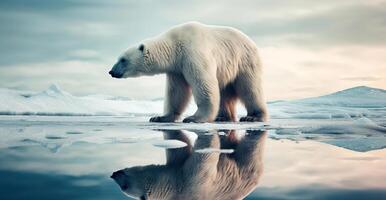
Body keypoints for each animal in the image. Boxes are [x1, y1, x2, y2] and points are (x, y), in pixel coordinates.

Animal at [107, 21, 266, 122]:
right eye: (119, 58)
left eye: (123, 59)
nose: (111, 71)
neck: (174, 44)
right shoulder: (176, 67)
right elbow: (176, 92)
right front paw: (159, 117)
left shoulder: (193, 53)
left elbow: (203, 84)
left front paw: (194, 118)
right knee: (225, 91)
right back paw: (222, 117)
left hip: (244, 60)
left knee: (250, 89)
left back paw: (253, 116)